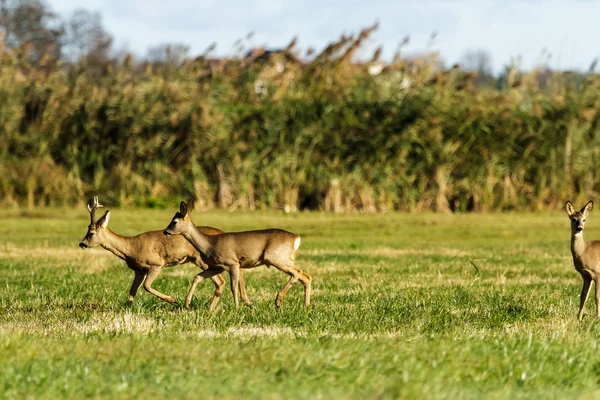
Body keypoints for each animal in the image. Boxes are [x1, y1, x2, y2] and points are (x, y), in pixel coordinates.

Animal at [78, 197, 251, 310]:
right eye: (87, 229)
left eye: (91, 233)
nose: (82, 244)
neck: (130, 247)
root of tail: (222, 232)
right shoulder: (139, 270)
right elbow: (132, 290)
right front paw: (126, 309)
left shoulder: (155, 263)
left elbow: (147, 286)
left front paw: (173, 300)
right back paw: (245, 301)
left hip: (202, 260)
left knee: (221, 281)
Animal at [164, 200, 314, 310]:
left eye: (174, 222)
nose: (165, 231)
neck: (209, 244)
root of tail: (296, 238)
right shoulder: (217, 267)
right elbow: (197, 277)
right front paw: (190, 304)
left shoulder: (233, 263)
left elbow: (233, 287)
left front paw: (236, 308)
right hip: (286, 260)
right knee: (306, 277)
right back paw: (306, 306)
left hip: (276, 257)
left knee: (297, 274)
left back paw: (278, 300)